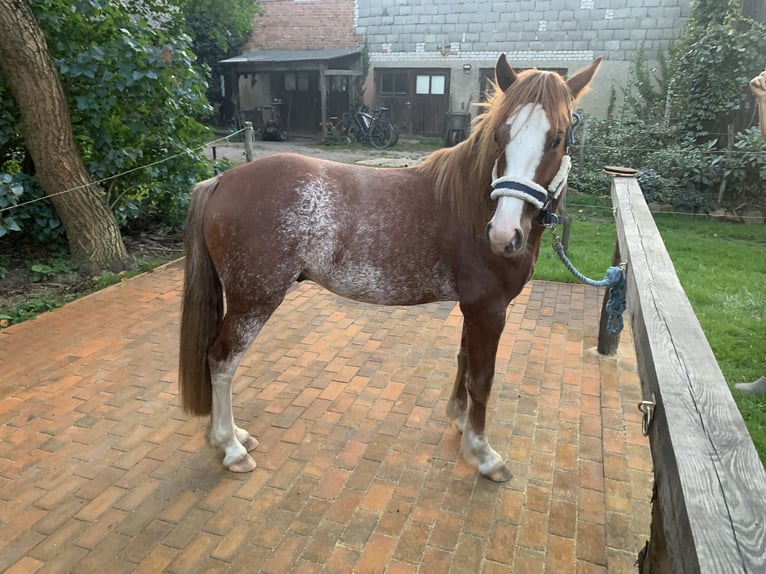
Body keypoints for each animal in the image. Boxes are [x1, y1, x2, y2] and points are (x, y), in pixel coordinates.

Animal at [178, 56, 600, 484]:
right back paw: (231, 447)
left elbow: (464, 360)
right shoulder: (489, 309)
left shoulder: (473, 308)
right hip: (253, 301)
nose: (503, 235)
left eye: (557, 139)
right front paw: (483, 455)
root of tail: (222, 179)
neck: (469, 204)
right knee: (221, 360)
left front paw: (459, 421)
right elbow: (482, 379)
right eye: (501, 135)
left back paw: (235, 437)